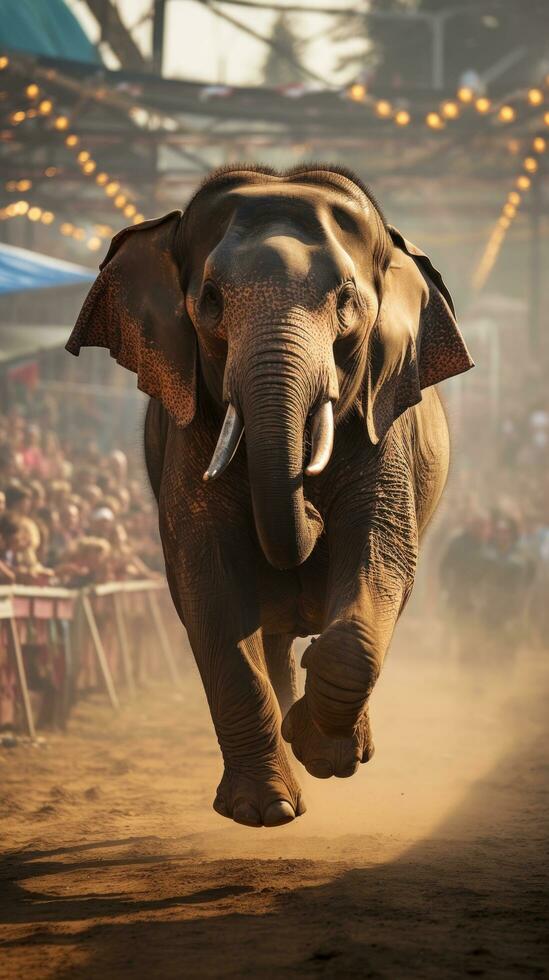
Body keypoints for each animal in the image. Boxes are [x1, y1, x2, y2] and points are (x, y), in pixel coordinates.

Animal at [67, 167, 470, 828]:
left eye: (346, 300)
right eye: (210, 299)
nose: (310, 506)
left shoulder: (381, 418)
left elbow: (382, 548)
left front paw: (319, 749)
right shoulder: (191, 426)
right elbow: (202, 569)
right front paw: (266, 810)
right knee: (270, 631)